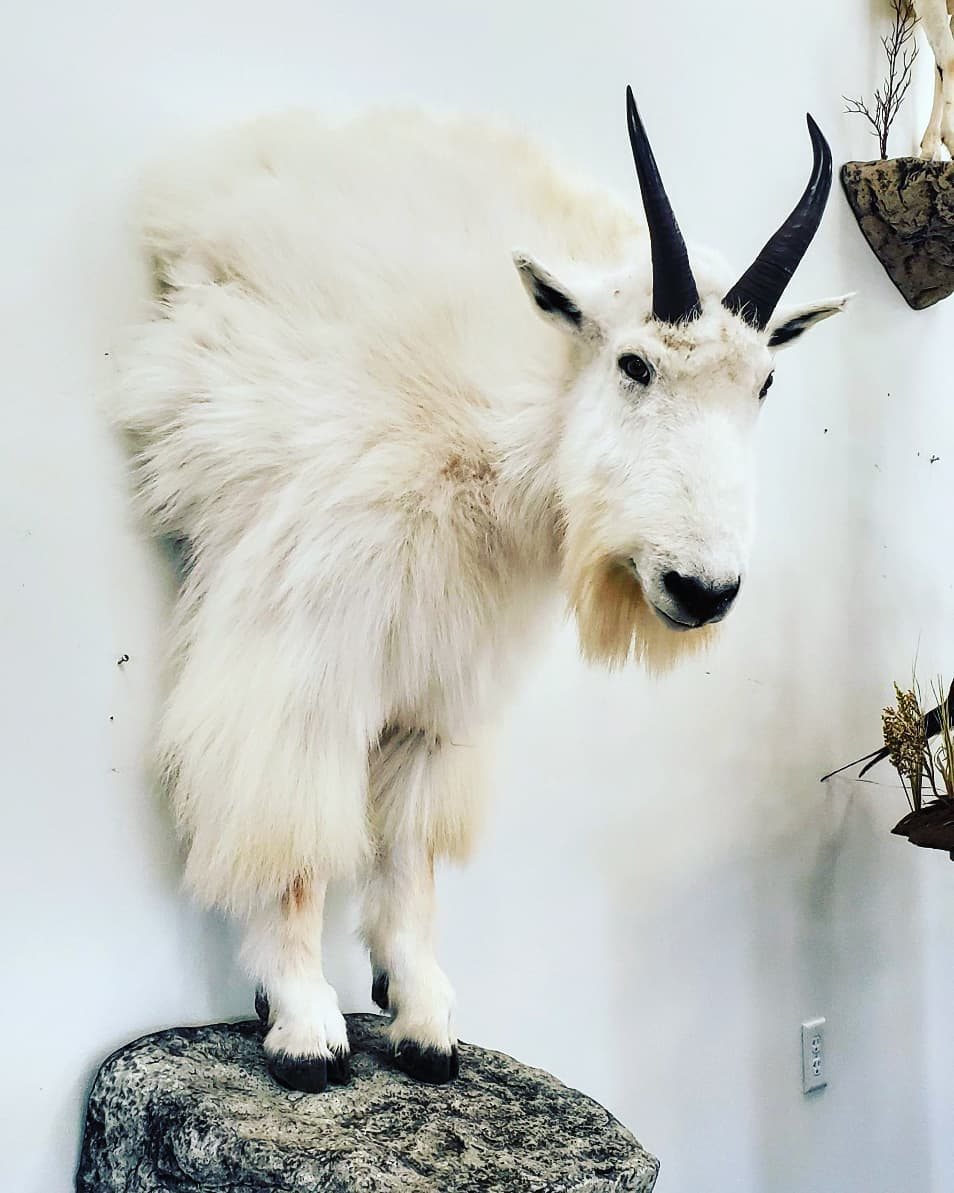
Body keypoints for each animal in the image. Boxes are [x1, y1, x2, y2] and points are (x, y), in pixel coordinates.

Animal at [112, 89, 847, 1091]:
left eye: (766, 381)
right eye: (635, 364)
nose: (701, 588)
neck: (493, 442)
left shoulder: (444, 683)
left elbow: (412, 848)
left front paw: (420, 1015)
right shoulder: (304, 649)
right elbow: (295, 836)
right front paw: (303, 1023)